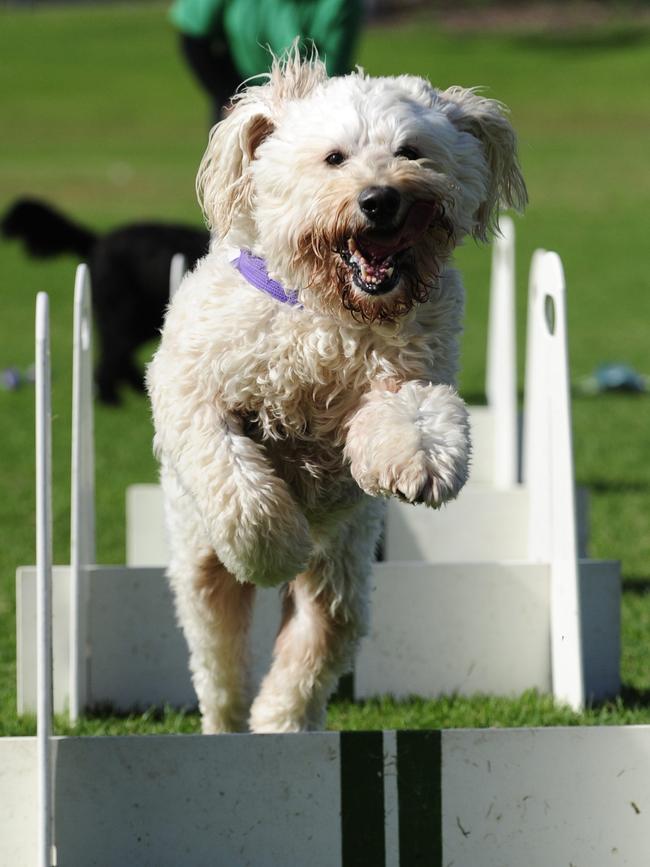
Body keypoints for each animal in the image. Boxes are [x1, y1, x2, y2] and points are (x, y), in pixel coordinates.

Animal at [146, 49, 520, 732]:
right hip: (201, 564)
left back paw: (282, 722)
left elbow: (416, 413)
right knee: (219, 654)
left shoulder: (407, 373)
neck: (329, 313)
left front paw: (424, 465)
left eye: (411, 151)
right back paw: (227, 720)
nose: (380, 200)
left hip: (343, 577)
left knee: (312, 649)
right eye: (335, 158)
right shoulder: (194, 393)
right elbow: (236, 479)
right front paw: (275, 546)